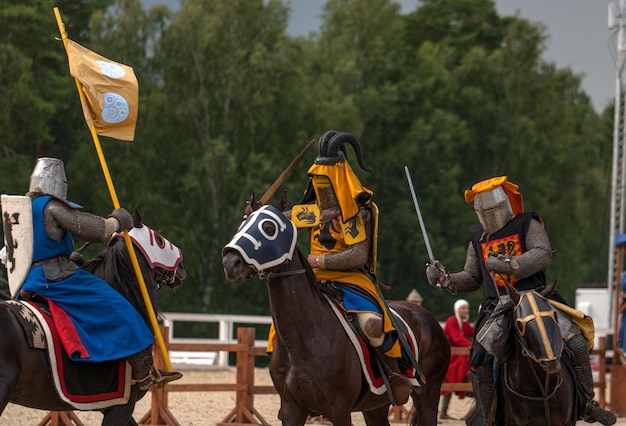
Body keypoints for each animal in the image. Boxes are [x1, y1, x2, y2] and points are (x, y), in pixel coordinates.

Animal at [222, 205, 446, 424]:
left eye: (269, 228)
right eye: (242, 224)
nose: (230, 262)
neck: (302, 340)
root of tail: (427, 317)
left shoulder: (339, 409)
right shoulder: (291, 409)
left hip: (428, 395)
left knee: (373, 326)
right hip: (376, 407)